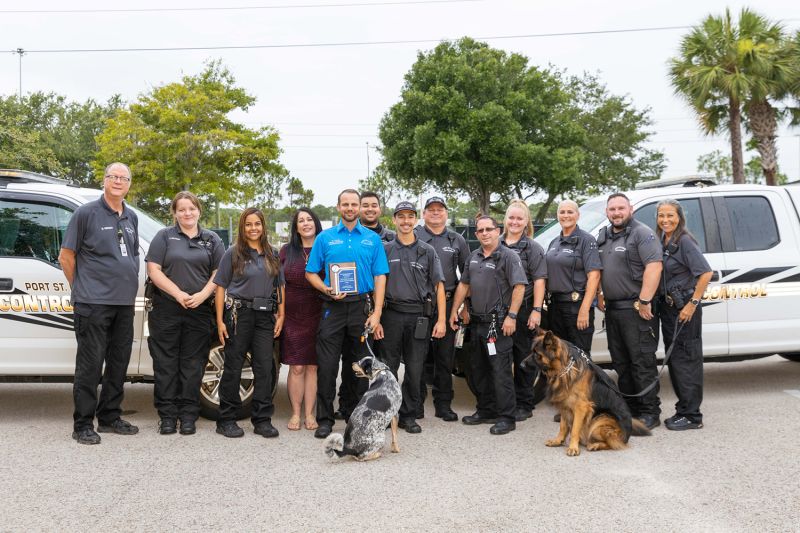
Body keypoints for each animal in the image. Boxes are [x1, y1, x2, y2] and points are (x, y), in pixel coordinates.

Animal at [524, 326, 648, 456]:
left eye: (537, 354)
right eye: (532, 351)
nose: (521, 365)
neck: (565, 369)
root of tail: (626, 437)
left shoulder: (581, 407)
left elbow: (574, 429)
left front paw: (573, 447)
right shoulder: (565, 405)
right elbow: (563, 426)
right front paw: (558, 441)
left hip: (600, 420)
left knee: (613, 443)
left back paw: (595, 445)